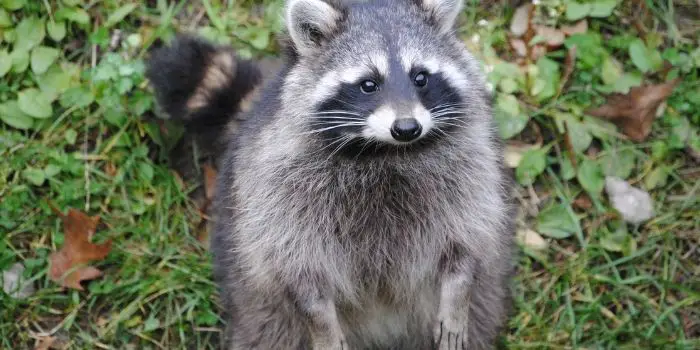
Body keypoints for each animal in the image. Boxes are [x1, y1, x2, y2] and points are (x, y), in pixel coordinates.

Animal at [149, 0, 516, 348]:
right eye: (368, 84)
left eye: (421, 77)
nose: (407, 128)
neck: (384, 152)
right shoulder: (277, 184)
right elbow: (295, 264)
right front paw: (320, 320)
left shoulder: (469, 164)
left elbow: (467, 237)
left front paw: (457, 292)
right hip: (260, 307)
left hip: (482, 303)